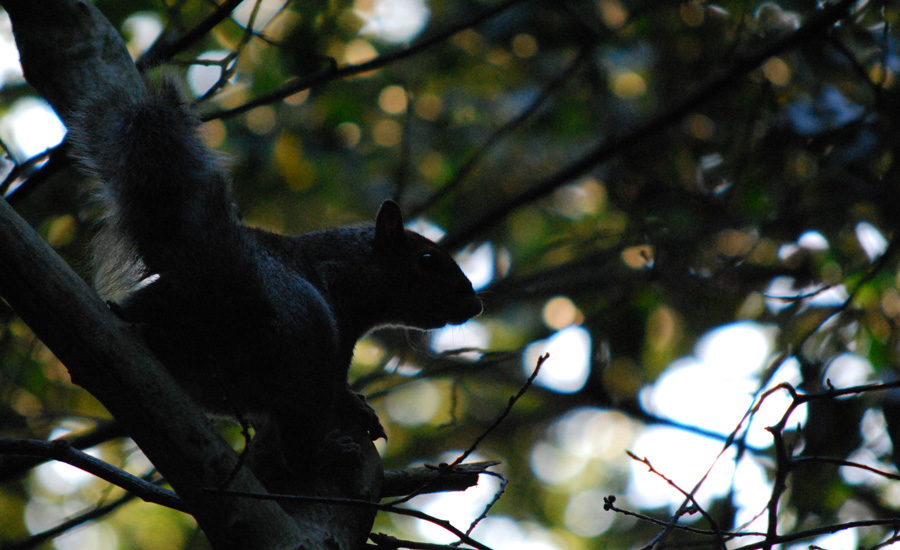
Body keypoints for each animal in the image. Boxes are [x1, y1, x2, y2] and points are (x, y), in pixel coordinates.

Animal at [65, 78, 483, 473]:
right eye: (427, 260)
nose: (475, 304)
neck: (352, 263)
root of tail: (224, 303)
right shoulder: (341, 308)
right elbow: (341, 379)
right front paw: (354, 404)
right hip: (306, 351)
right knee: (300, 437)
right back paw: (322, 457)